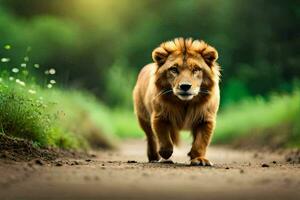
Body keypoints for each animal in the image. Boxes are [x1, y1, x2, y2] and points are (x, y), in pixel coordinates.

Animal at [133, 37, 220, 166]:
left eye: (196, 69)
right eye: (174, 69)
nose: (185, 86)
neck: (184, 103)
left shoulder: (206, 119)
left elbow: (200, 143)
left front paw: (199, 159)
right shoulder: (159, 117)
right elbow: (164, 139)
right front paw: (165, 154)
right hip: (142, 117)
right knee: (151, 137)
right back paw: (154, 157)